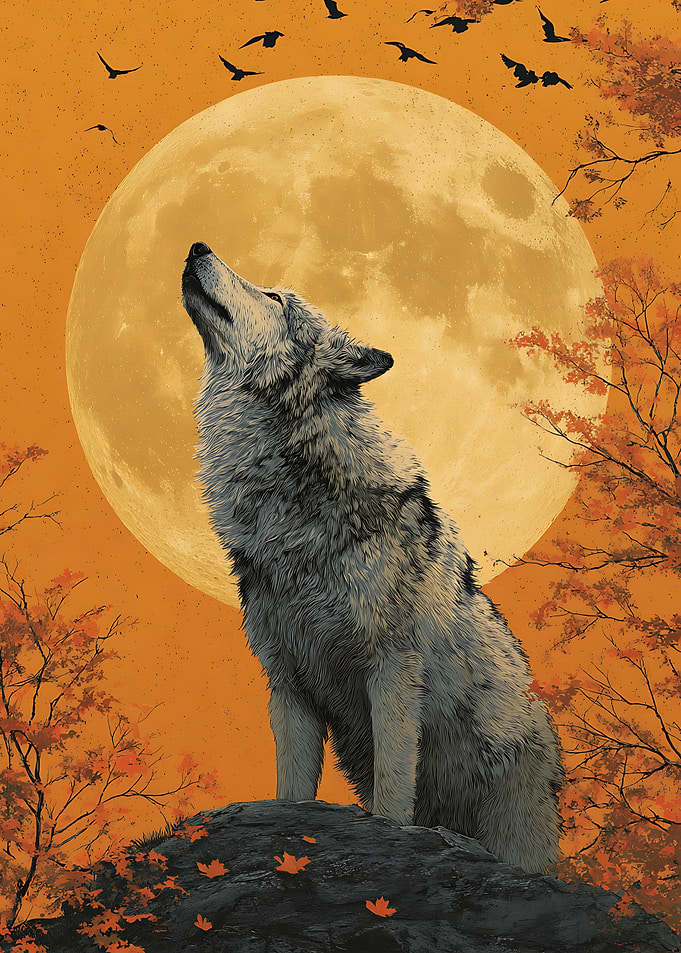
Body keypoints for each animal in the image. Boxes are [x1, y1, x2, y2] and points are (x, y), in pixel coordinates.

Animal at [181, 241, 565, 872]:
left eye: (274, 297)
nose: (196, 246)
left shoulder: (391, 668)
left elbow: (391, 781)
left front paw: (387, 835)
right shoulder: (288, 684)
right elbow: (291, 791)